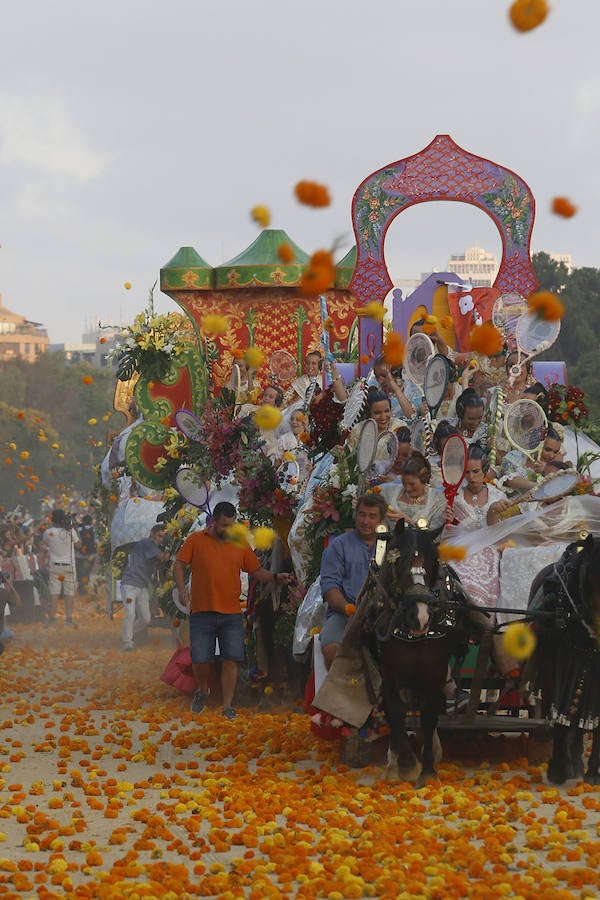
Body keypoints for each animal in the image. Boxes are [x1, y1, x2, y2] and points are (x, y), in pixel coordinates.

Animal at [364, 524, 476, 784]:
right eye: (400, 562)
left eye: (431, 562)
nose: (421, 616)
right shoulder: (389, 670)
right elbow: (396, 712)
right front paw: (405, 762)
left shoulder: (434, 670)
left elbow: (428, 715)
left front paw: (427, 769)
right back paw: (394, 758)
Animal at [524, 532, 600, 784]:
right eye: (590, 573)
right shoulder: (554, 666)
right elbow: (557, 716)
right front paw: (557, 768)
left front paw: (592, 772)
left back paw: (576, 760)